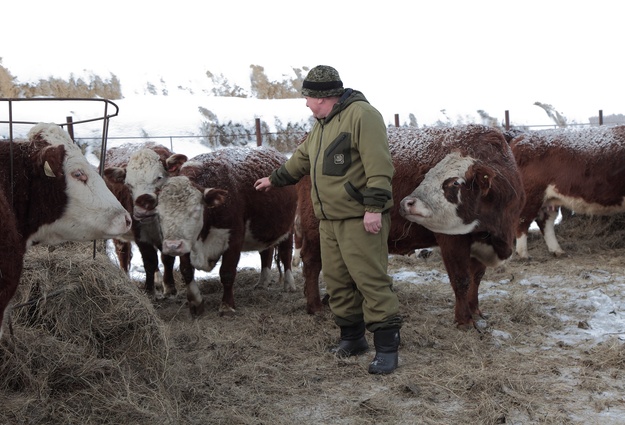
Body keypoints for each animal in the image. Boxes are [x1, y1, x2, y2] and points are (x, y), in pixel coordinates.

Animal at [103, 143, 187, 296]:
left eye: (159, 177)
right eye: (128, 184)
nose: (143, 206)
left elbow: (167, 258)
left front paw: (170, 287)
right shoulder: (140, 234)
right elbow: (149, 260)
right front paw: (149, 289)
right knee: (123, 253)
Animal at [155, 146, 298, 316]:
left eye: (195, 210)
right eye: (159, 212)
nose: (172, 246)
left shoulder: (234, 238)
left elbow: (227, 272)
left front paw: (227, 306)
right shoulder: (187, 243)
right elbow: (186, 271)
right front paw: (196, 303)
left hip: (288, 228)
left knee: (286, 254)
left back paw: (289, 284)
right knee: (265, 253)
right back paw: (262, 282)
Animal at [297, 125, 525, 329]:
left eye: (455, 182)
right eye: (426, 176)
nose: (407, 202)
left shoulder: (481, 242)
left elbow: (476, 278)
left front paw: (475, 310)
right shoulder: (452, 240)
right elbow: (461, 279)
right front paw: (464, 320)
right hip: (315, 230)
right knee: (312, 261)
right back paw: (315, 305)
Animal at [505, 125, 625, 259]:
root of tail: (522, 136)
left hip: (548, 199)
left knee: (545, 222)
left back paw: (557, 250)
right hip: (530, 196)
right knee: (522, 221)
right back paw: (523, 254)